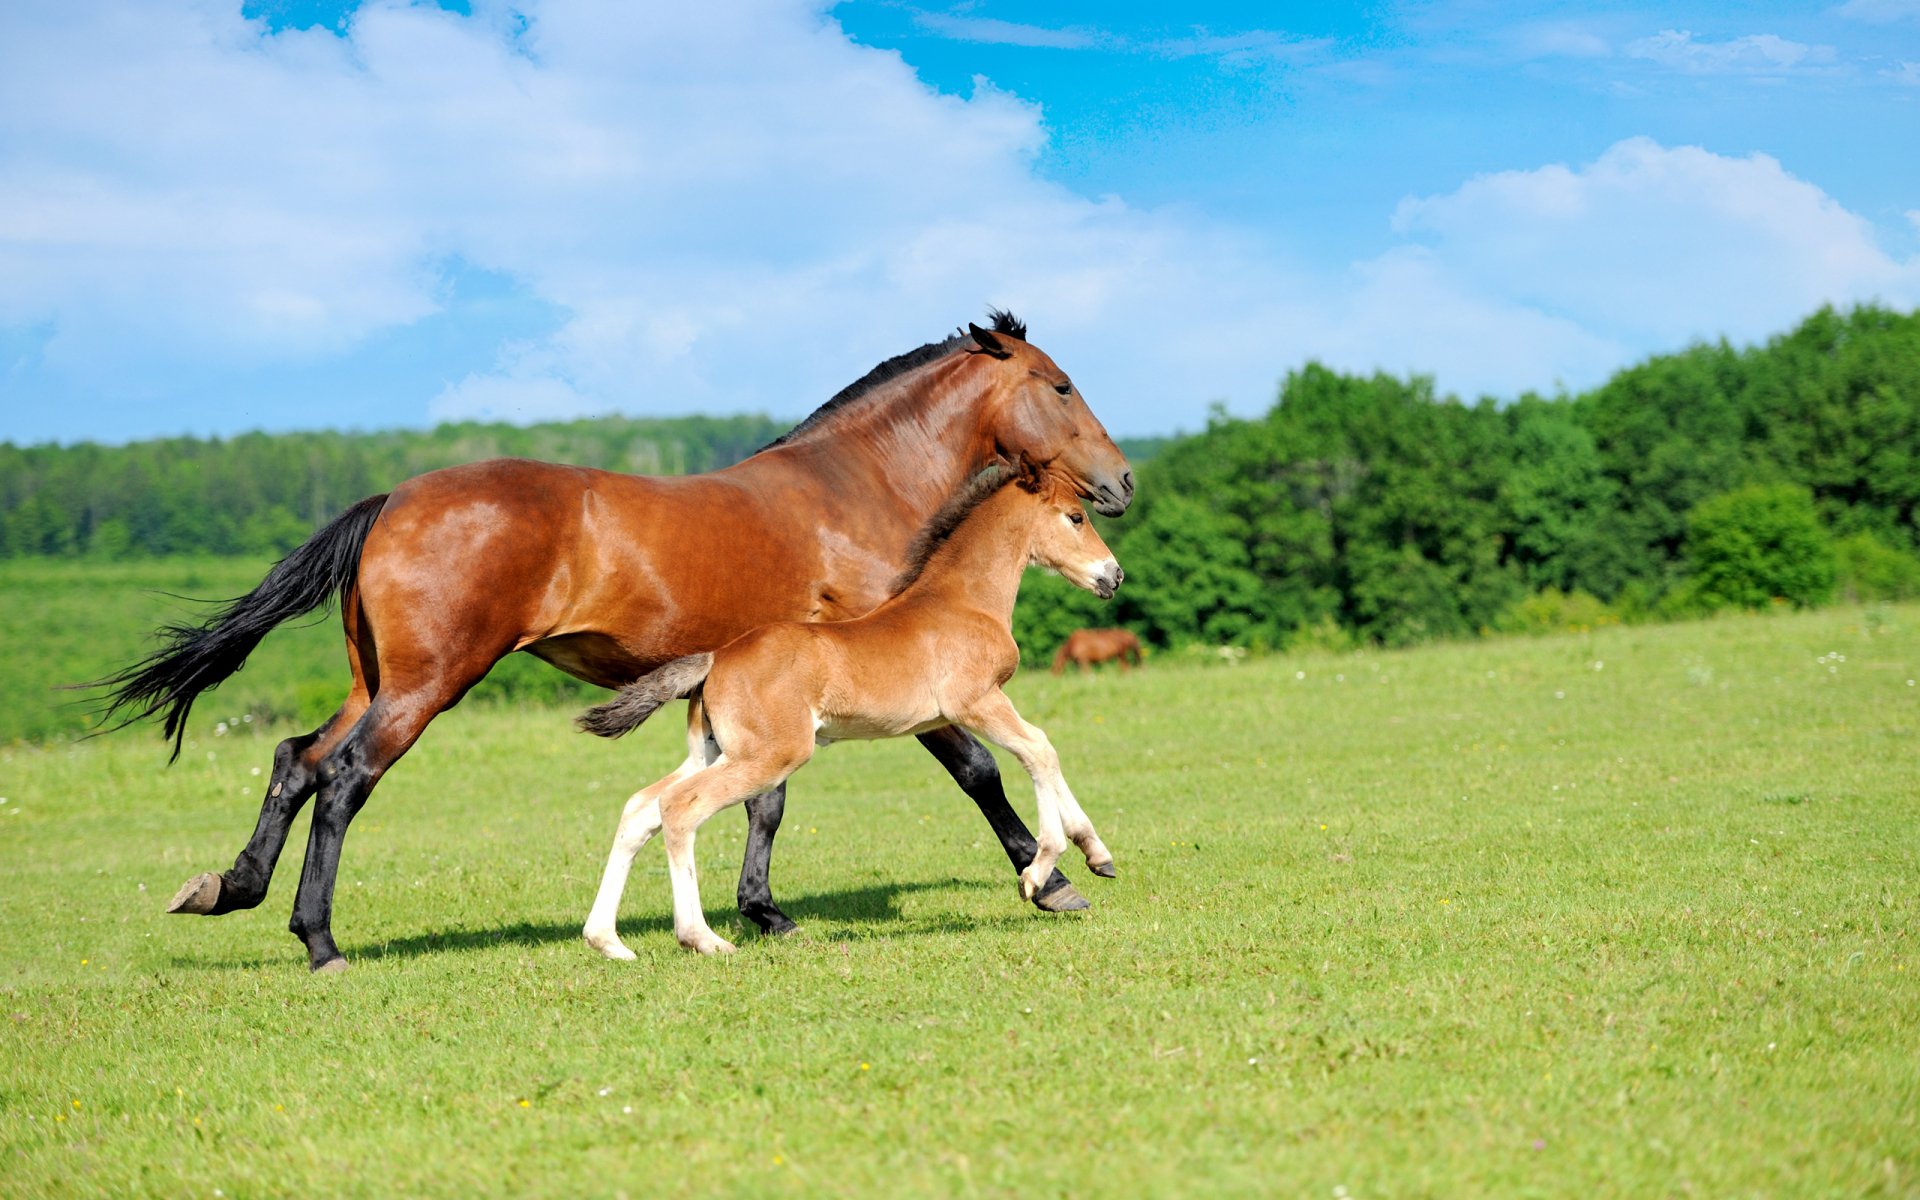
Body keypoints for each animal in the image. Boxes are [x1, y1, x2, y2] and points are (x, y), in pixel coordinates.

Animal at [575, 460, 1122, 956]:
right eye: (1076, 516)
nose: (1113, 575)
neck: (962, 602)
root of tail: (716, 658)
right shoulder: (976, 702)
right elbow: (1039, 750)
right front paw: (1038, 875)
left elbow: (1042, 752)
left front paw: (1097, 855)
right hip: (771, 755)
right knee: (680, 808)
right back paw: (701, 939)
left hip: (715, 751)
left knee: (641, 808)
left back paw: (608, 941)